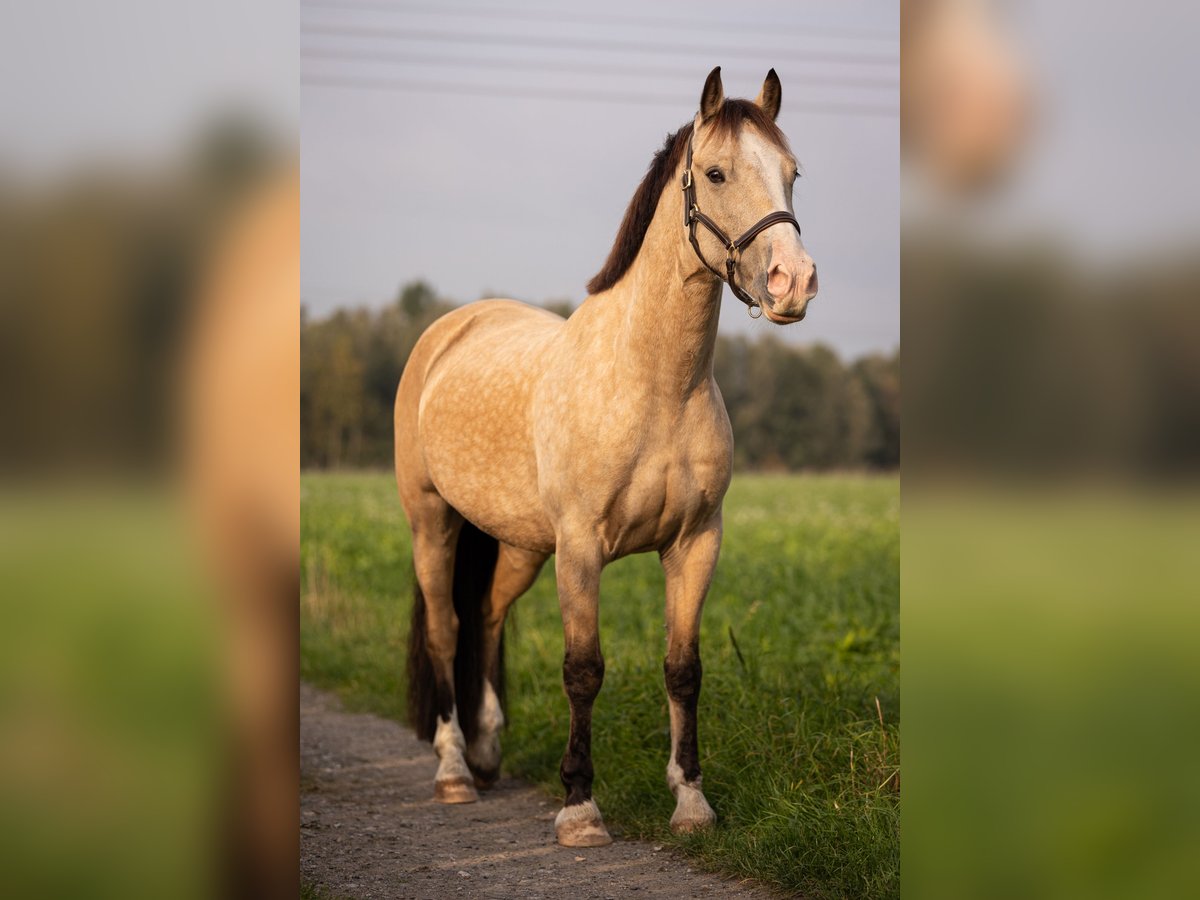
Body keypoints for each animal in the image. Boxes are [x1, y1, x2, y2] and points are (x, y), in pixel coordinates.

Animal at [395, 67, 817, 847]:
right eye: (717, 173)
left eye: (792, 173)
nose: (792, 283)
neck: (655, 385)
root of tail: (450, 329)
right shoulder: (583, 549)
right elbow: (583, 670)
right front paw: (580, 808)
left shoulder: (695, 544)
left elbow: (683, 669)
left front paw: (691, 802)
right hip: (431, 522)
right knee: (446, 630)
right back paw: (454, 770)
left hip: (522, 544)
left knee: (487, 618)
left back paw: (488, 751)